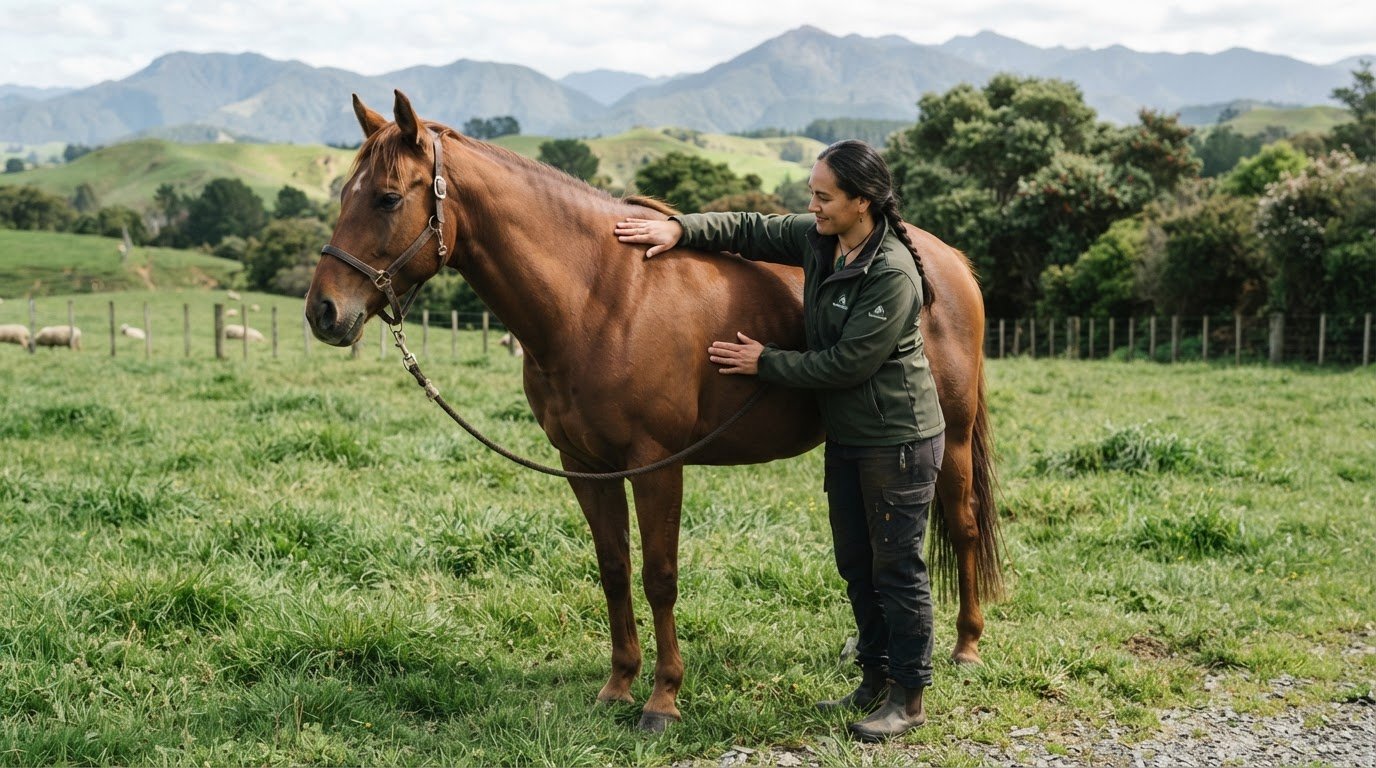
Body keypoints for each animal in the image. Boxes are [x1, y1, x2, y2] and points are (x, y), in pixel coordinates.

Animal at [305, 91, 1003, 732]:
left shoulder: (657, 465)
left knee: (963, 526)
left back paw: (966, 646)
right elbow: (615, 571)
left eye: (387, 199)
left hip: (952, 441)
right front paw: (619, 684)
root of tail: (947, 263)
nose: (324, 312)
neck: (599, 294)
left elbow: (660, 576)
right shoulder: (586, 466)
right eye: (344, 196)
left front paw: (663, 699)